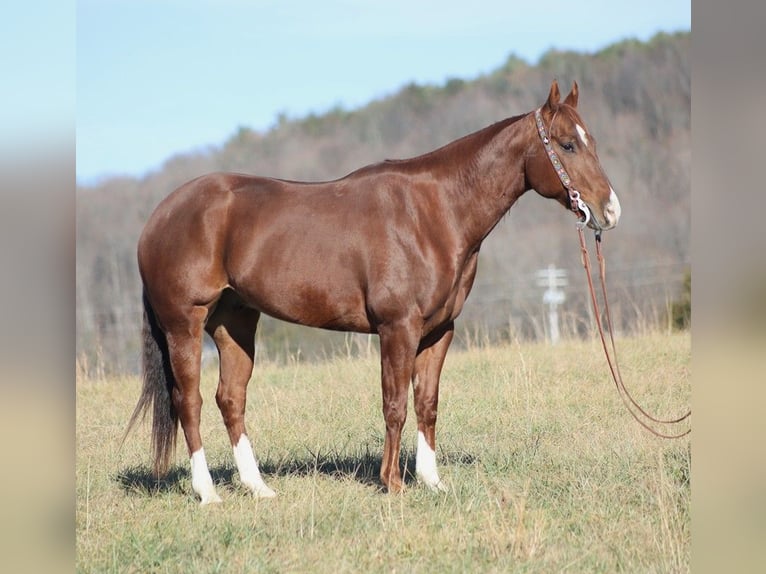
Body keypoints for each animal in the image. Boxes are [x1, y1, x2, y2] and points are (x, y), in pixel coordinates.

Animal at [129, 80, 620, 504]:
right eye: (567, 144)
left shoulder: (439, 331)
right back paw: (207, 493)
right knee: (188, 401)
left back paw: (258, 488)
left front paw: (432, 481)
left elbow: (427, 403)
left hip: (235, 321)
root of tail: (158, 217)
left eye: (591, 140)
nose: (610, 210)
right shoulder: (396, 328)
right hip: (184, 325)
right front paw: (393, 483)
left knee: (230, 398)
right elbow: (395, 404)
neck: (434, 213)